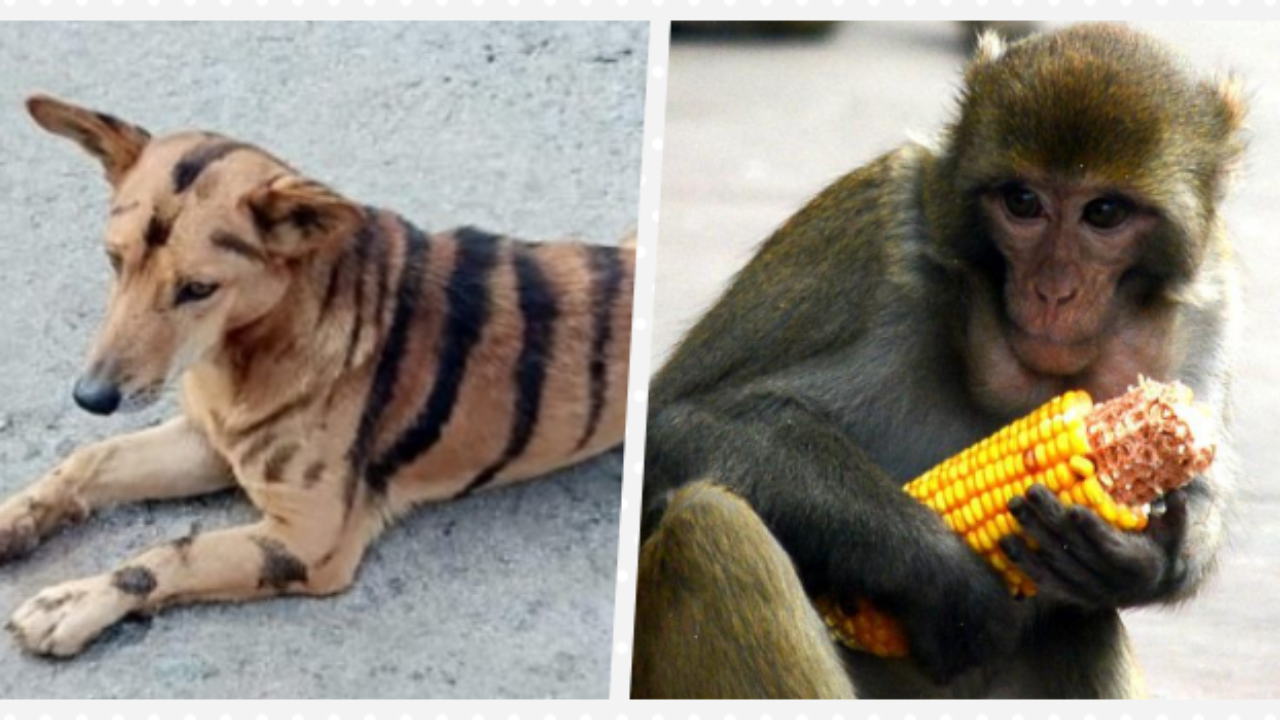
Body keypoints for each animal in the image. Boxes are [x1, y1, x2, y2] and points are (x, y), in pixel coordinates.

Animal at [632, 23, 1245, 699]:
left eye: (1104, 213)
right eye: (1022, 202)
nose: (1052, 291)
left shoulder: (1211, 303)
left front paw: (1153, 558)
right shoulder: (878, 239)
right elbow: (679, 423)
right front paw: (942, 571)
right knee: (707, 523)